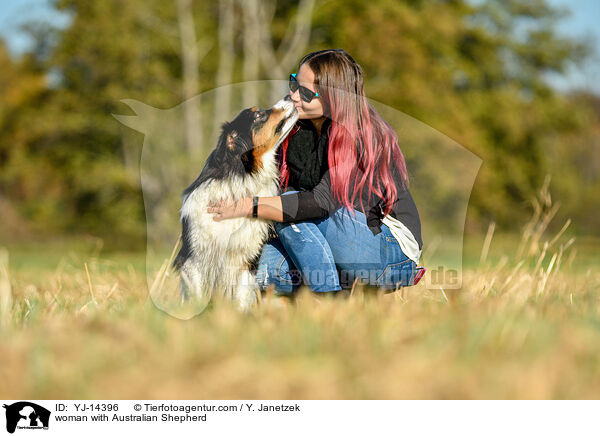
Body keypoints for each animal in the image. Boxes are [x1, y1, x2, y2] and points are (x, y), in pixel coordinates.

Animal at [171, 96, 298, 312]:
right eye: (258, 114)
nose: (290, 96)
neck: (241, 175)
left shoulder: (246, 260)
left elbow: (241, 297)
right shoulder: (194, 258)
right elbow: (197, 296)